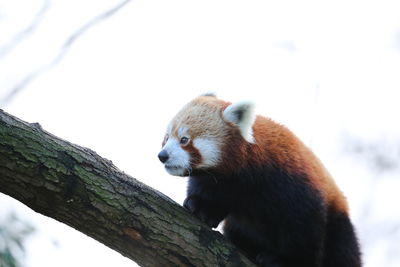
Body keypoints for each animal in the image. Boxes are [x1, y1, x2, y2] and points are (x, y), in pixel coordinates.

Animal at [158, 94, 360, 267]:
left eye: (184, 139)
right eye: (166, 138)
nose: (162, 156)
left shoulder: (293, 183)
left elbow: (304, 227)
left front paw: (286, 260)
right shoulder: (219, 183)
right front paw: (201, 207)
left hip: (340, 224)